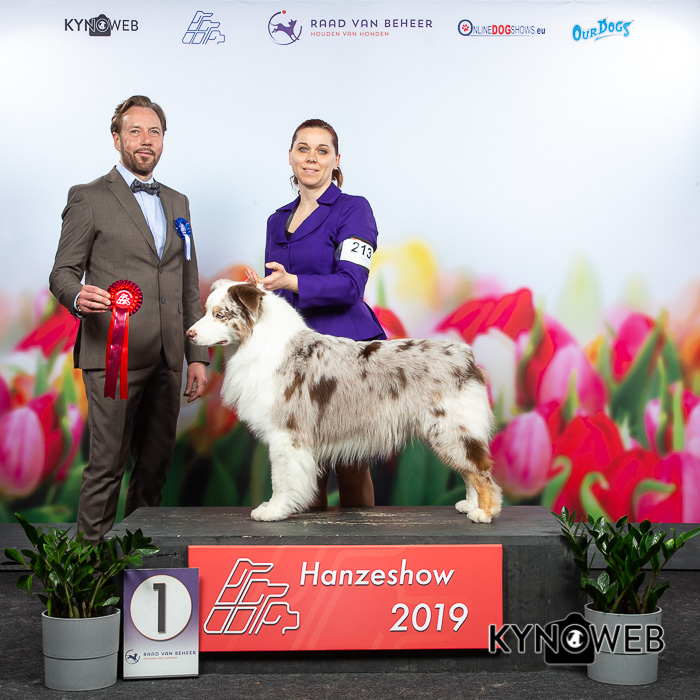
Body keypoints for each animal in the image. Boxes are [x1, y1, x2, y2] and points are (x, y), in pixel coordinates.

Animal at [187, 279, 501, 524]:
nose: (189, 334)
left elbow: (281, 478)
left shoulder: (286, 434)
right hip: (448, 431)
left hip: (451, 428)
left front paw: (274, 510)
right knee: (469, 470)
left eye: (220, 314)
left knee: (481, 470)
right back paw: (470, 505)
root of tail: (466, 355)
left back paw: (484, 512)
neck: (258, 343)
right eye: (207, 311)